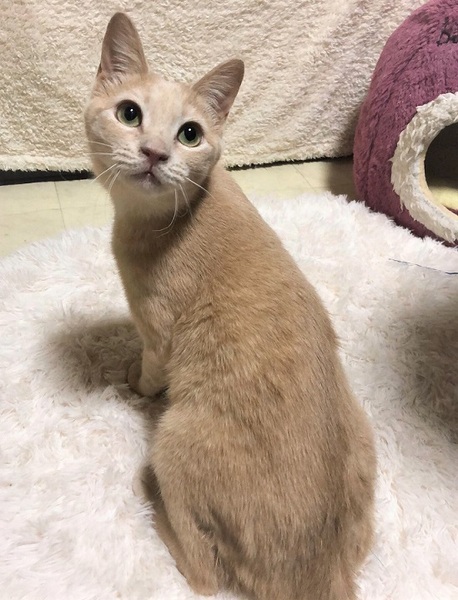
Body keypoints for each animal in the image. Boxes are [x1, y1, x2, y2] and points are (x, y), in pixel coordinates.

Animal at [85, 12, 376, 600]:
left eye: (189, 133)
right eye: (130, 114)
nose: (155, 153)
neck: (169, 218)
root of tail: (317, 575)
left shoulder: (157, 334)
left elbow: (148, 371)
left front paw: (132, 381)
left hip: (174, 440)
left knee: (204, 574)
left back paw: (151, 500)